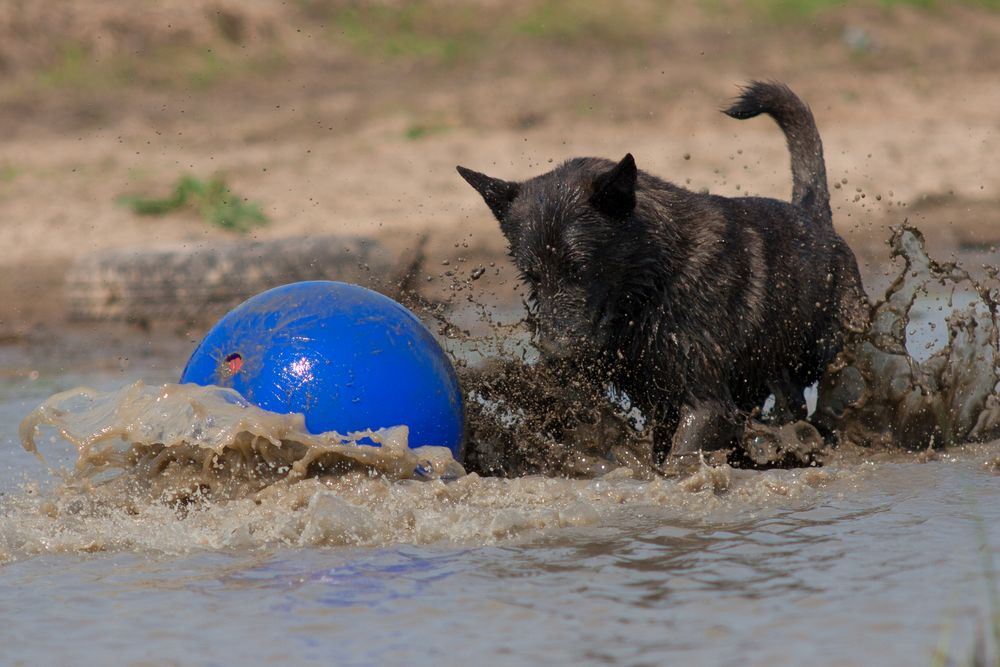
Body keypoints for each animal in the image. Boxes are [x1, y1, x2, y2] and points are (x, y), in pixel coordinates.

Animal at [458, 81, 864, 462]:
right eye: (532, 277)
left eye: (581, 267)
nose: (556, 354)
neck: (655, 282)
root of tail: (815, 219)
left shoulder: (707, 405)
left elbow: (679, 457)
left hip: (833, 358)